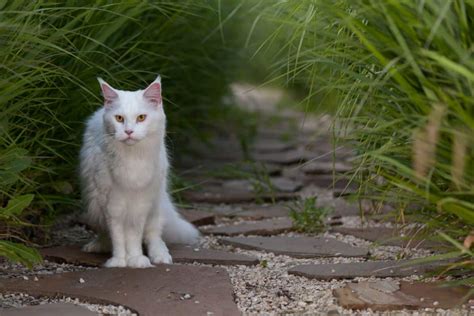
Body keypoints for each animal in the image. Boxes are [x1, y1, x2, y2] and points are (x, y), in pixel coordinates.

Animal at [80, 75, 199, 268]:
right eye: (119, 118)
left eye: (141, 117)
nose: (128, 131)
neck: (132, 158)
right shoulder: (112, 204)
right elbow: (117, 236)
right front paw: (118, 261)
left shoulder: (140, 204)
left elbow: (134, 236)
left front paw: (136, 259)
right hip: (94, 204)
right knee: (104, 232)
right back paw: (99, 245)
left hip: (155, 203)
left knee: (154, 234)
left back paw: (160, 256)